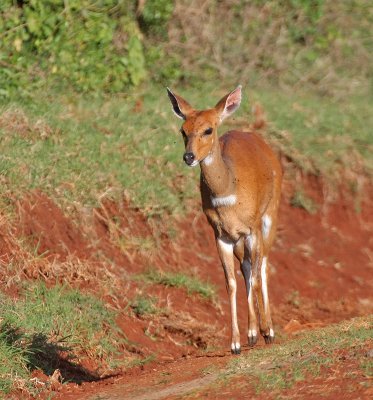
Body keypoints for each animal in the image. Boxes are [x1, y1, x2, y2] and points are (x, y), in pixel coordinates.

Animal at [166, 86, 282, 354]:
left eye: (208, 130)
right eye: (183, 130)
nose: (189, 157)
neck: (229, 190)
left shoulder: (252, 228)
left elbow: (255, 276)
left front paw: (262, 332)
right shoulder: (221, 235)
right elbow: (231, 283)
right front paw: (236, 343)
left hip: (270, 216)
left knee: (263, 265)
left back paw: (268, 331)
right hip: (240, 240)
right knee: (248, 267)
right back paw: (254, 333)